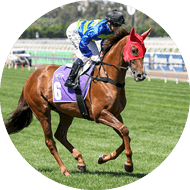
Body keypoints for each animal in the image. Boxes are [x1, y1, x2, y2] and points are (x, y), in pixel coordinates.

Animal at [4, 27, 151, 176]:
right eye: (134, 50)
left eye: (144, 49)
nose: (140, 75)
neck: (107, 78)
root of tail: (31, 77)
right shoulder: (99, 114)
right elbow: (124, 130)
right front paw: (129, 164)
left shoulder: (115, 113)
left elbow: (125, 135)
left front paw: (103, 158)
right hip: (42, 111)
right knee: (50, 141)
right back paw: (64, 170)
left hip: (66, 112)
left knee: (60, 134)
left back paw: (80, 161)